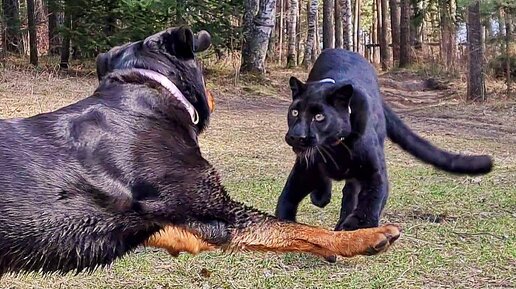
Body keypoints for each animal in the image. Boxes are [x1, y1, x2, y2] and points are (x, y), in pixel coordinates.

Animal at [0, 27, 402, 274]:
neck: (148, 89)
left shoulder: (180, 226)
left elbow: (293, 232)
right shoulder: (218, 210)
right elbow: (298, 229)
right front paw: (365, 238)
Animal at [276, 48, 494, 231]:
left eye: (319, 117)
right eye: (294, 112)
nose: (296, 135)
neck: (335, 148)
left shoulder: (375, 172)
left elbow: (371, 202)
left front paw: (354, 227)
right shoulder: (304, 169)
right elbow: (287, 197)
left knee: (350, 193)